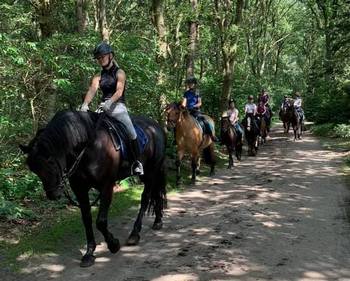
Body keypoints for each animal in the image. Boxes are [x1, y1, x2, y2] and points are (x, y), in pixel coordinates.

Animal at [19, 110, 167, 266]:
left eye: (51, 162)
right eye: (33, 169)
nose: (53, 194)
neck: (88, 147)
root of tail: (156, 126)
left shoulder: (107, 186)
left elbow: (100, 222)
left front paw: (113, 244)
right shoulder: (80, 189)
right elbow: (87, 220)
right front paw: (89, 253)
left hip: (151, 171)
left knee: (145, 198)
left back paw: (135, 234)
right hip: (147, 175)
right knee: (155, 194)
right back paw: (157, 221)